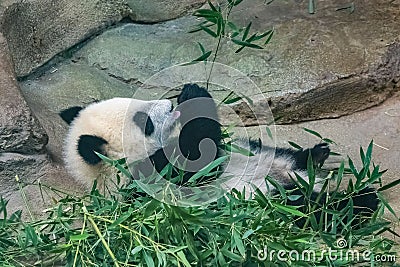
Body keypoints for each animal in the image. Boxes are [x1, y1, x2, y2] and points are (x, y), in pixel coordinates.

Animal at [60, 84, 378, 224]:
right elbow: (199, 164)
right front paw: (193, 97)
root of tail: (293, 177)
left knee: (282, 153)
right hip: (269, 202)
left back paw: (317, 154)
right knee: (314, 211)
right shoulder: (156, 184)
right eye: (144, 122)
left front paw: (190, 90)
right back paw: (361, 201)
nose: (168, 103)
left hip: (262, 154)